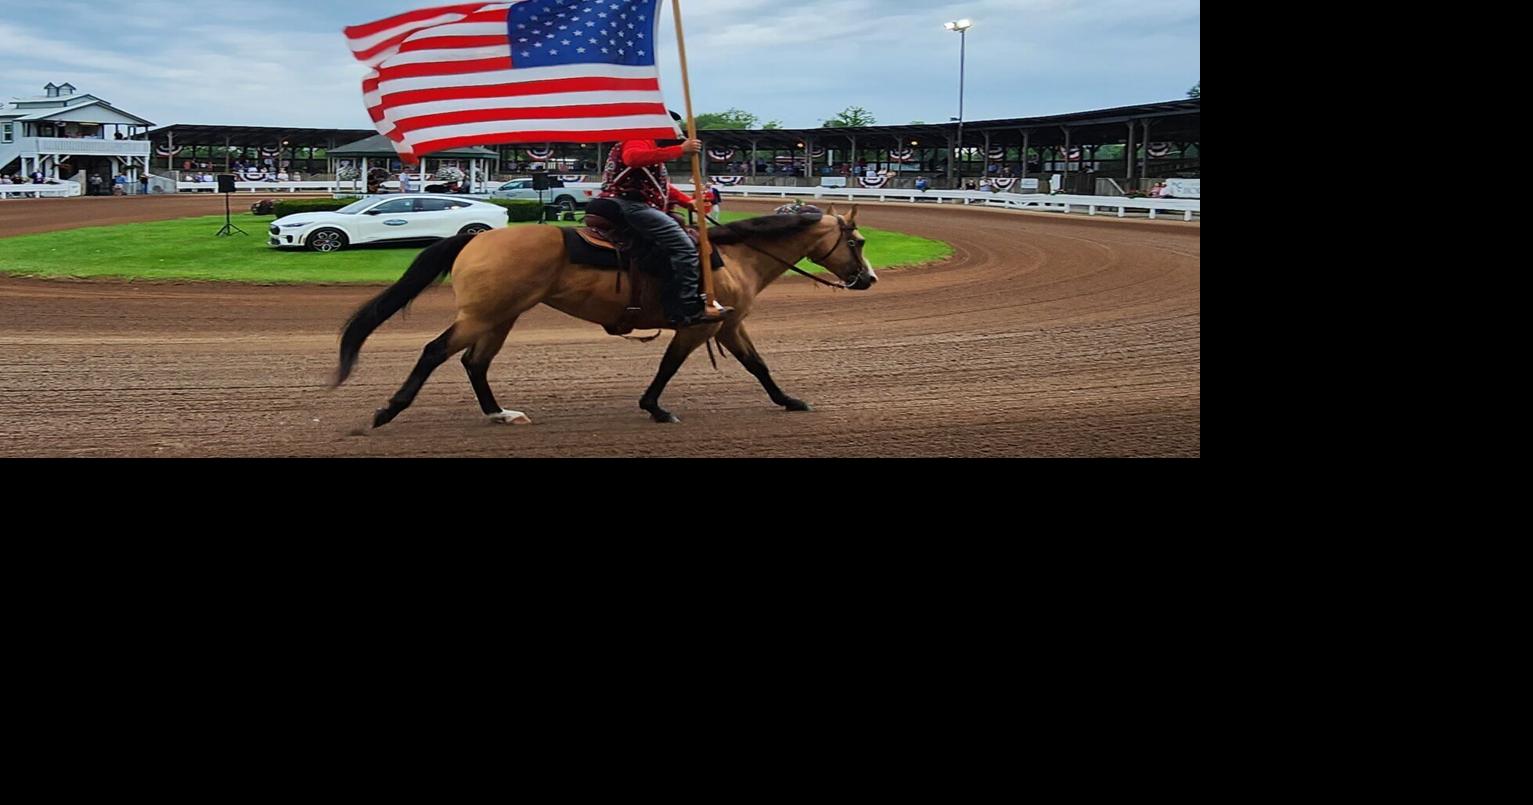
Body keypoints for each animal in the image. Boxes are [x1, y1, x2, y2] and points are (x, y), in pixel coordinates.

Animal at [337, 202, 883, 426]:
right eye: (857, 241)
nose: (869, 279)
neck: (732, 257)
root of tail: (474, 238)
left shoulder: (729, 324)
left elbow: (759, 365)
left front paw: (790, 401)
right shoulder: (703, 324)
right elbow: (669, 366)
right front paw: (656, 408)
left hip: (500, 317)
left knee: (475, 362)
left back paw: (499, 413)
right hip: (482, 315)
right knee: (435, 351)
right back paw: (388, 411)